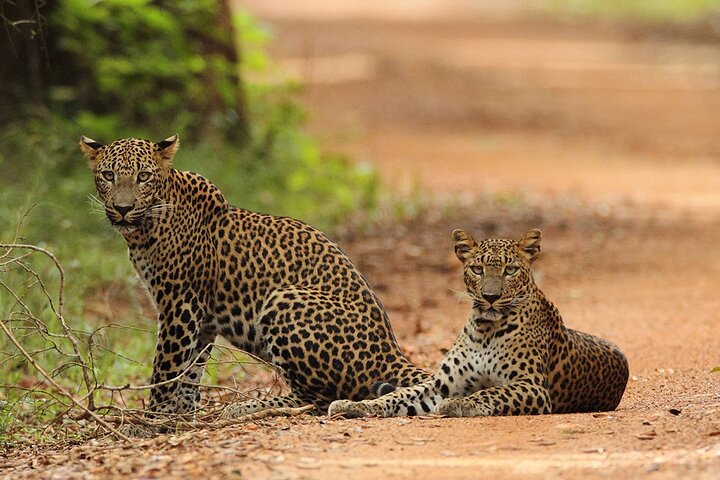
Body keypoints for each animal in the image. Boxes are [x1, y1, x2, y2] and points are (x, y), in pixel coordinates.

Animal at [79, 134, 429, 431]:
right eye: (108, 175)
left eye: (143, 177)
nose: (123, 208)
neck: (144, 230)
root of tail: (390, 350)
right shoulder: (201, 319)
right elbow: (190, 371)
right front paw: (180, 417)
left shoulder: (179, 306)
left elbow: (166, 369)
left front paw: (148, 422)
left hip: (284, 300)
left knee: (320, 398)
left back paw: (246, 407)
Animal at [329, 228, 629, 418]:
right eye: (477, 269)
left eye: (510, 270)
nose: (490, 297)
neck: (485, 328)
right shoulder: (440, 385)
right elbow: (396, 396)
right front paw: (354, 406)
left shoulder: (532, 386)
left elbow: (492, 393)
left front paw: (459, 404)